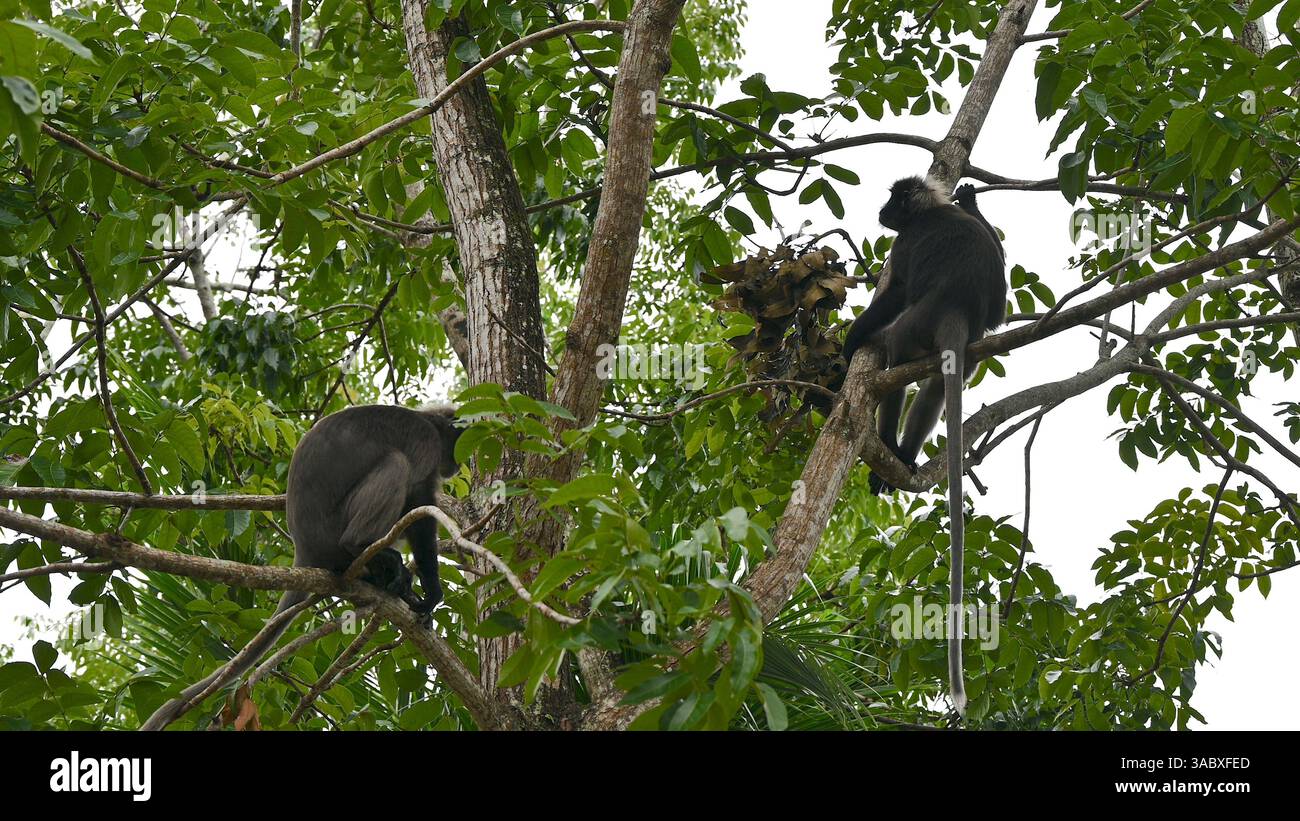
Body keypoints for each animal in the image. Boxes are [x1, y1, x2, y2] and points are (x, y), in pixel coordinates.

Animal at [140, 402, 462, 730]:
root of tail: (304, 548)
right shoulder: (426, 445)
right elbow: (419, 509)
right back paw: (364, 549)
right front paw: (432, 593)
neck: (431, 423)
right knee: (396, 463)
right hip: (334, 533)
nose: (459, 466)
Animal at [840, 176, 1007, 716]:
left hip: (916, 325)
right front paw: (972, 202)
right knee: (934, 387)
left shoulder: (904, 246)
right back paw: (907, 456)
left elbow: (892, 293)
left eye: (894, 198)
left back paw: (890, 448)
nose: (882, 209)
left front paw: (849, 342)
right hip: (963, 351)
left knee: (892, 354)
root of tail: (957, 309)